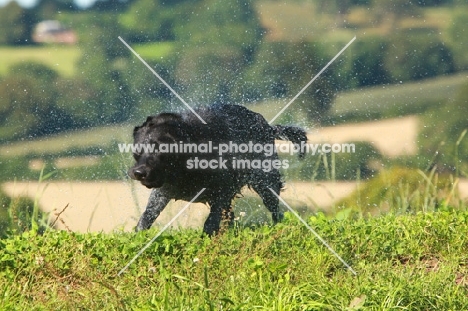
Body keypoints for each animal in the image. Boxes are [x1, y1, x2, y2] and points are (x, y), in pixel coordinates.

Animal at [130, 103, 308, 235]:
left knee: (276, 211)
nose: (138, 172)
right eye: (138, 151)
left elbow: (211, 221)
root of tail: (268, 127)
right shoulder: (162, 193)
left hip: (265, 183)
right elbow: (147, 216)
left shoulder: (224, 189)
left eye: (158, 149)